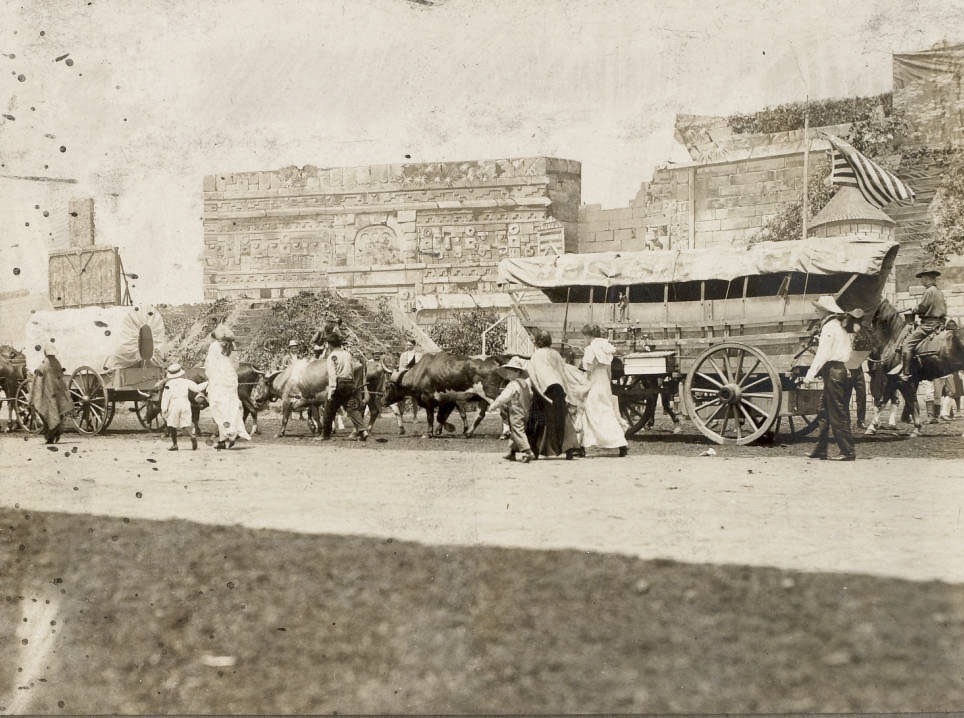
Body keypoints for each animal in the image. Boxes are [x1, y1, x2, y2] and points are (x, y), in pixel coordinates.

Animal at [868, 300, 964, 436]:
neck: (894, 338)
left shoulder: (897, 380)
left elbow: (887, 402)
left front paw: (872, 426)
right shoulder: (907, 380)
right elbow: (911, 402)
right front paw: (917, 428)